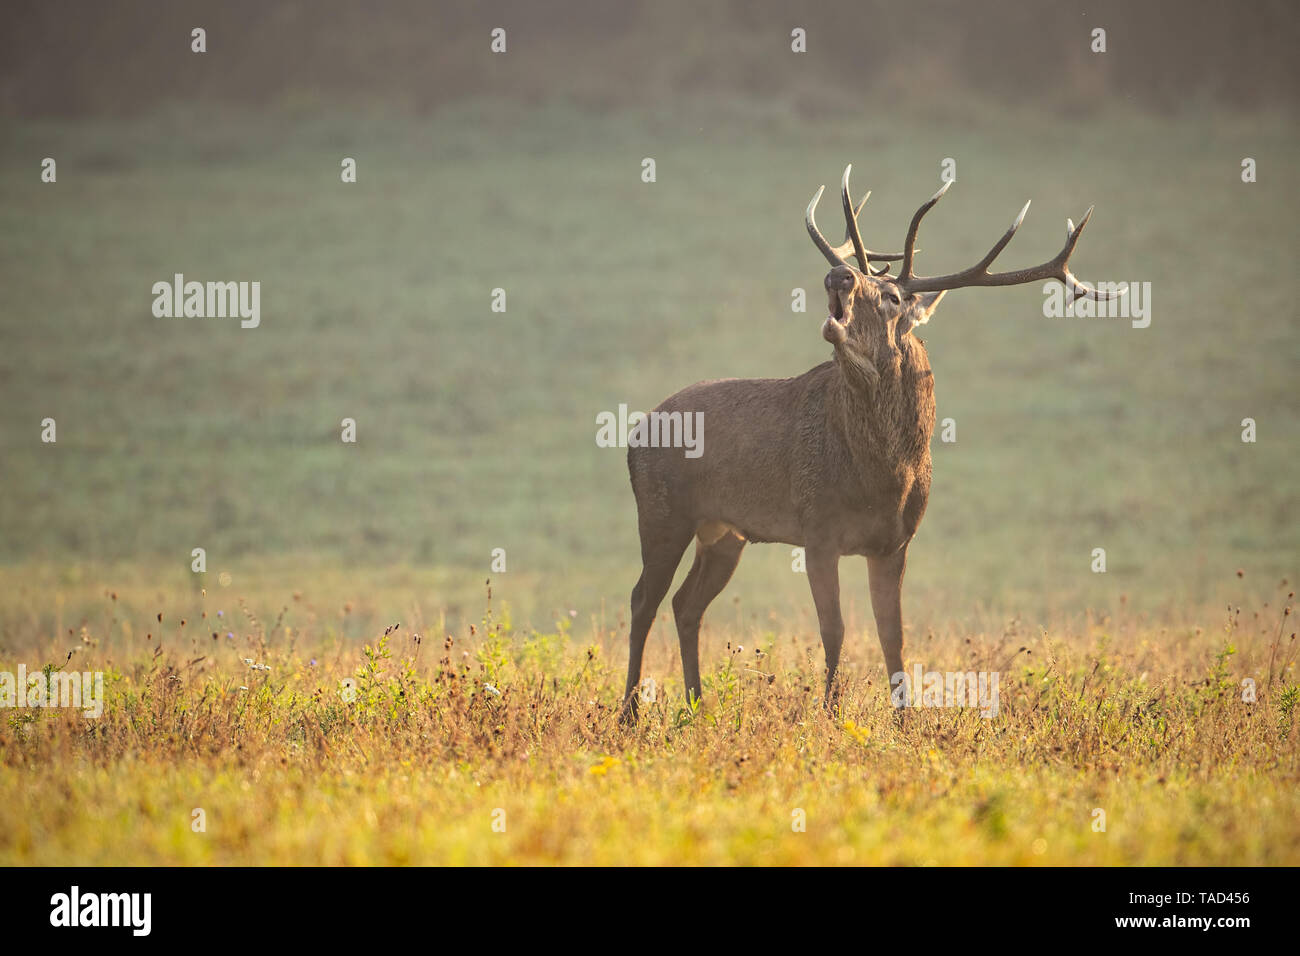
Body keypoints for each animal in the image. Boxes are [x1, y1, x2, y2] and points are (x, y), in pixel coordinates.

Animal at [619, 166, 1117, 722]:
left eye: (893, 297)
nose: (839, 275)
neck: (883, 476)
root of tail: (635, 434)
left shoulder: (895, 542)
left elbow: (893, 636)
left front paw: (904, 722)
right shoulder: (817, 530)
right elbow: (834, 630)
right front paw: (830, 716)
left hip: (724, 532)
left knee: (686, 604)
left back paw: (697, 708)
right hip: (662, 512)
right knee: (643, 600)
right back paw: (629, 713)